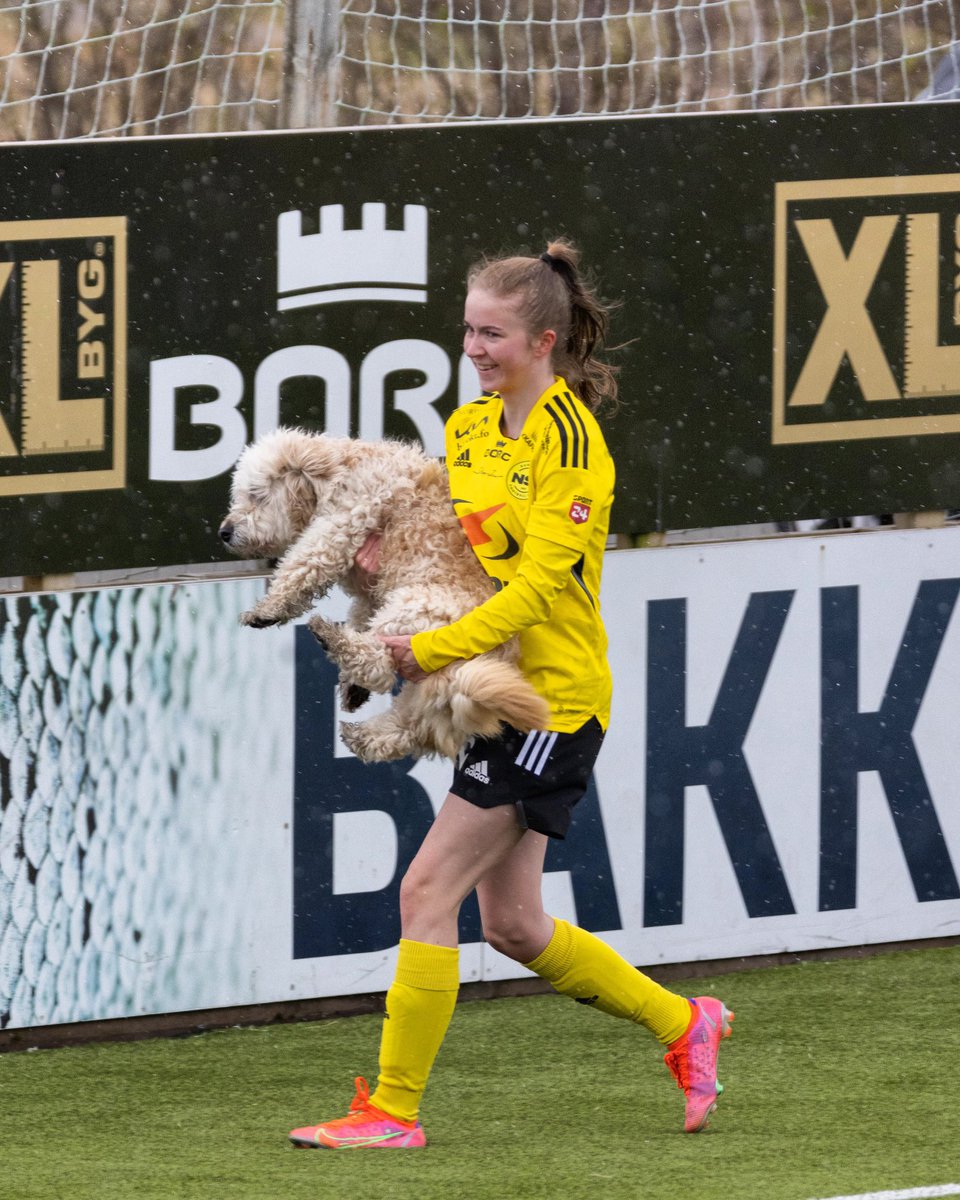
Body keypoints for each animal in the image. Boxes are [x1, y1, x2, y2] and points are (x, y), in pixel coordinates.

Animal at [218, 429, 547, 758]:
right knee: (409, 727)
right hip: (430, 687)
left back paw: (330, 637)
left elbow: (300, 566)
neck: (339, 472)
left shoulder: (339, 527)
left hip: (412, 613)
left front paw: (266, 610)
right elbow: (358, 616)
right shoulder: (370, 595)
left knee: (379, 664)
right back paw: (360, 732)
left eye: (256, 494)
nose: (224, 531)